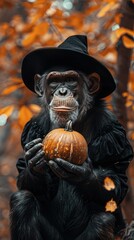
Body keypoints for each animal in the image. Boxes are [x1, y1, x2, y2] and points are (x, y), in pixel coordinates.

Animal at [9, 34, 134, 240]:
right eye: (54, 81)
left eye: (70, 79)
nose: (62, 91)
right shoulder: (32, 127)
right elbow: (24, 181)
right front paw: (33, 162)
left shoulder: (112, 130)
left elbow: (117, 183)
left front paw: (83, 174)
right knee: (22, 200)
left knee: (103, 220)